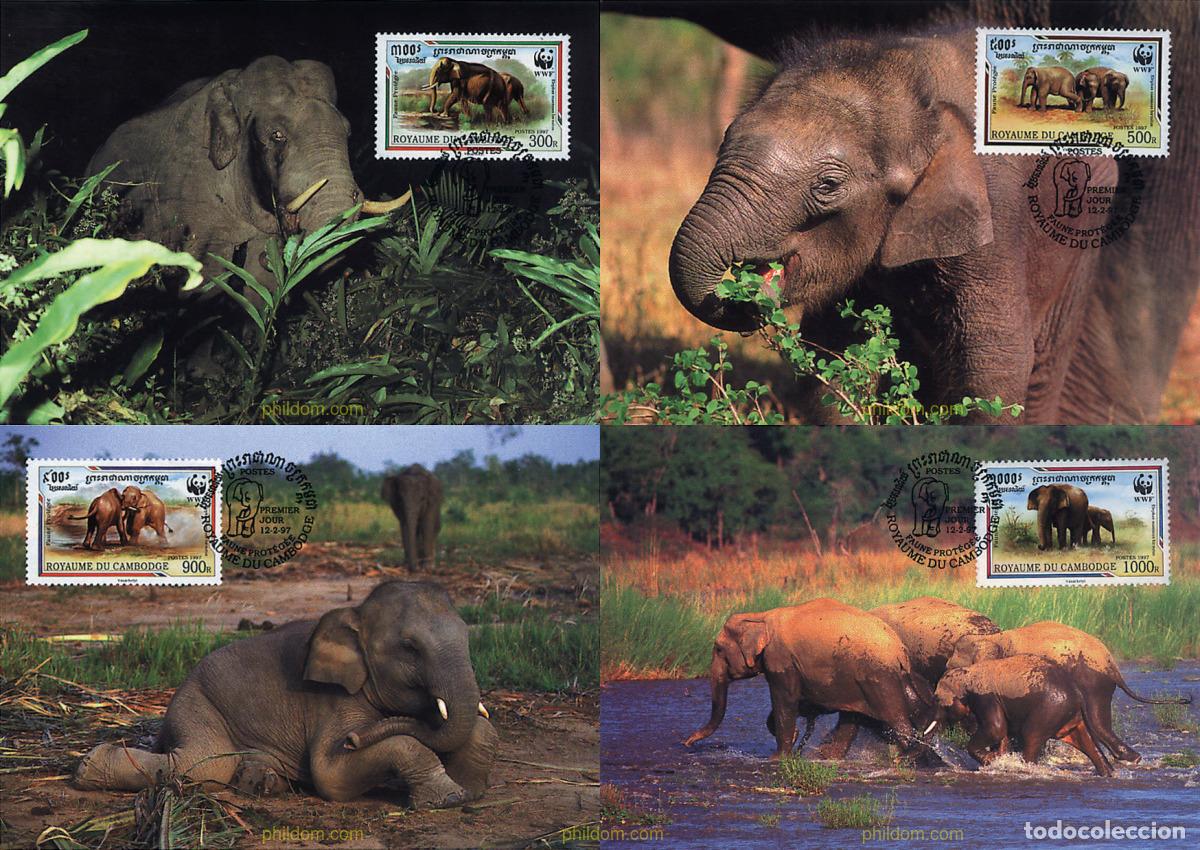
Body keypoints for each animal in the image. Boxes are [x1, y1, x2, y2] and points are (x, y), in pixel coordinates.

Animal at [73, 581, 497, 807]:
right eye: (410, 648)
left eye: (467, 633)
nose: (354, 740)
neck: (355, 613)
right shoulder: (335, 702)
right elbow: (329, 774)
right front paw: (450, 798)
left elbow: (479, 730)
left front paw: (470, 790)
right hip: (196, 705)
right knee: (203, 763)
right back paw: (87, 767)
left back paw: (262, 782)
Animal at [664, 10, 1200, 425]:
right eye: (724, 141)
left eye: (827, 186)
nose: (741, 290)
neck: (913, 83)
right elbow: (836, 354)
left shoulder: (996, 213)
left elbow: (996, 363)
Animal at [682, 599, 935, 760]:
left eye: (718, 649)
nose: (687, 743)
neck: (760, 616)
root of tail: (900, 650)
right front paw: (792, 739)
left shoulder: (780, 659)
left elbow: (784, 700)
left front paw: (778, 758)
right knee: (857, 717)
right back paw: (827, 757)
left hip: (878, 677)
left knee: (895, 720)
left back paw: (906, 759)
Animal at [930, 655, 1113, 776]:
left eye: (938, 700)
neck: (967, 673)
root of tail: (1078, 693)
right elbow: (1002, 734)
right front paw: (998, 759)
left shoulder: (985, 697)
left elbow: (996, 729)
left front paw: (992, 761)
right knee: (1086, 742)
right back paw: (1106, 773)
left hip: (1051, 709)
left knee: (1031, 736)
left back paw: (1026, 769)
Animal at [947, 620, 1192, 763]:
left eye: (954, 669)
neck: (989, 639)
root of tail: (1112, 665)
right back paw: (1128, 758)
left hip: (1091, 681)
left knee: (1096, 720)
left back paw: (1130, 759)